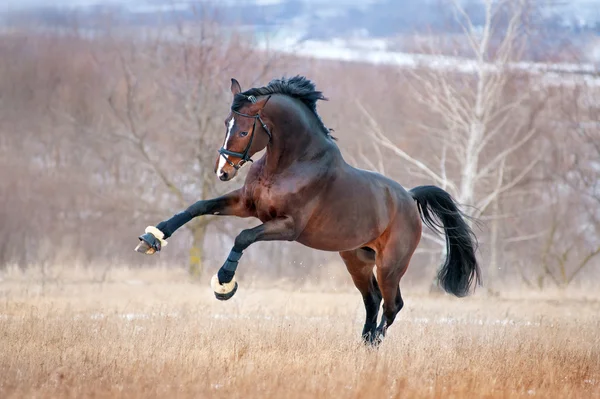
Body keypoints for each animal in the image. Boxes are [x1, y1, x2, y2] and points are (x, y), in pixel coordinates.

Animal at [136, 76, 482, 346]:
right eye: (226, 124)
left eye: (245, 131)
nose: (223, 172)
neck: (288, 164)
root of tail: (409, 198)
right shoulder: (246, 204)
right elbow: (199, 206)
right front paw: (153, 238)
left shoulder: (287, 227)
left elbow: (243, 237)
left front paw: (224, 283)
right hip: (356, 259)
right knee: (372, 301)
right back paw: (363, 344)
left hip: (390, 265)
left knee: (392, 305)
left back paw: (375, 343)